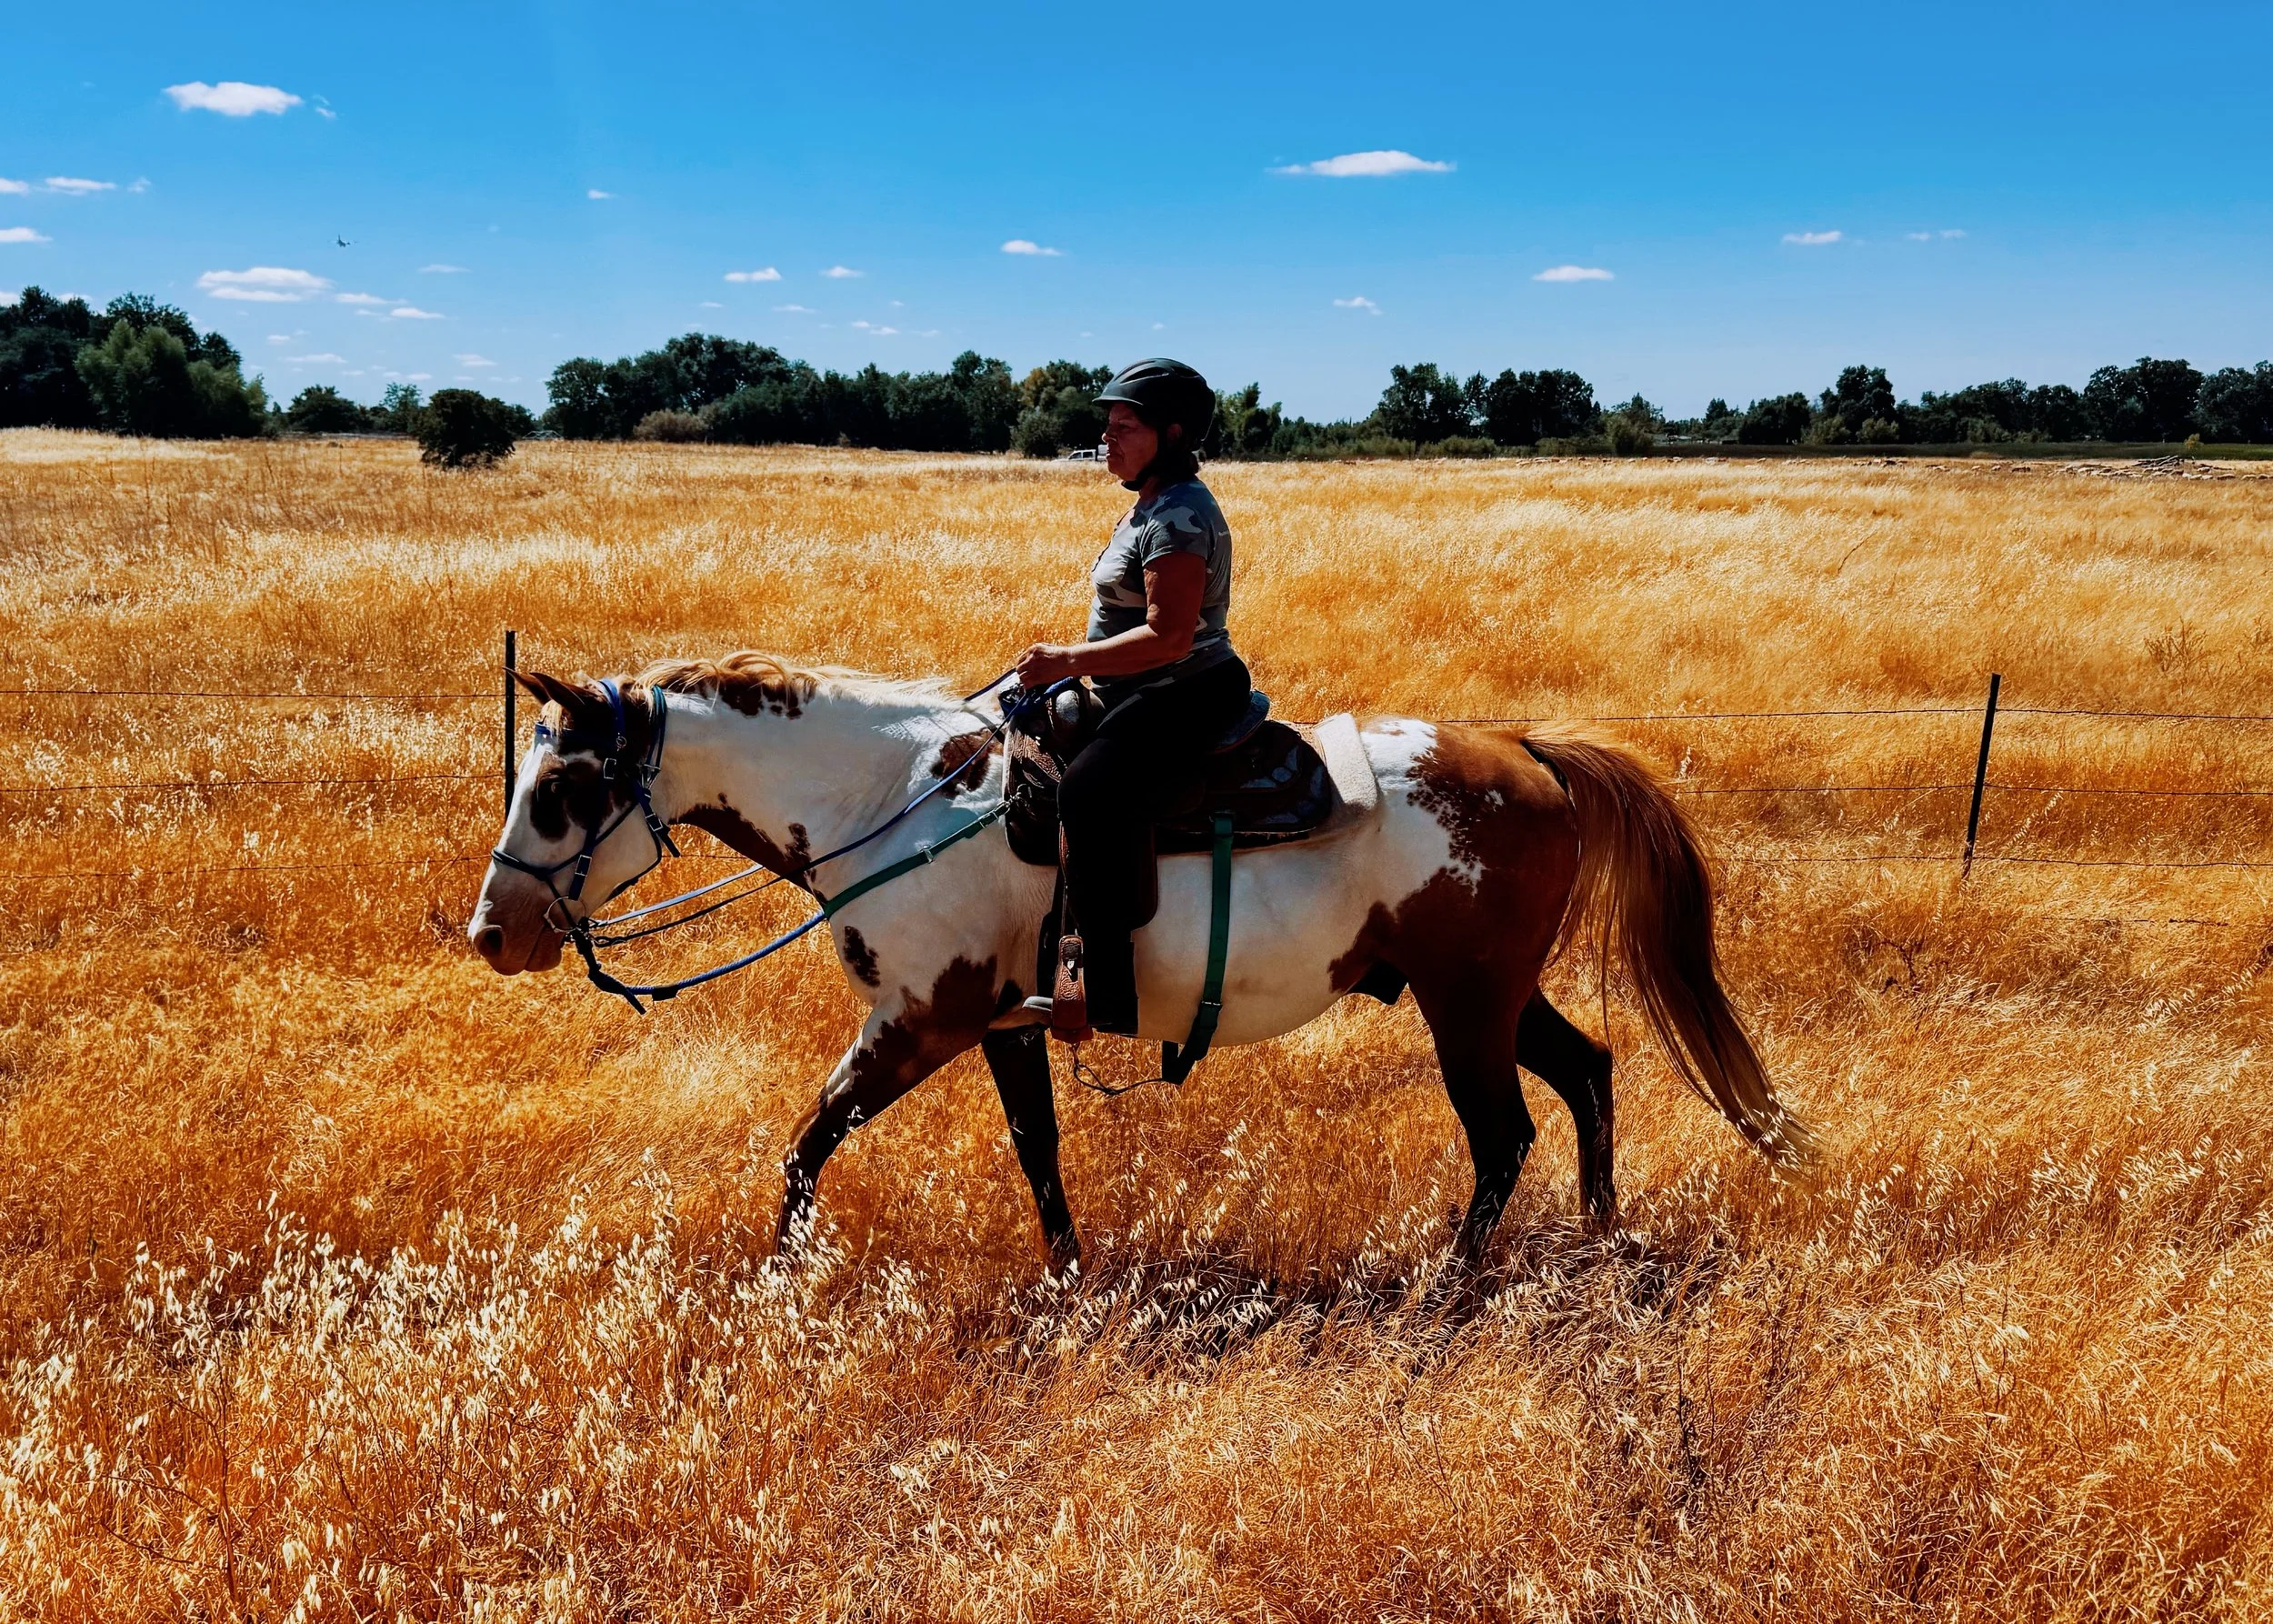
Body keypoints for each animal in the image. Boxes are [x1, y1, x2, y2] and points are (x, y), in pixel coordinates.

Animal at [468, 651, 1812, 1271]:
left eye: (565, 787)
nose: (494, 931)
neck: (892, 799)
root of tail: (1529, 753)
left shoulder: (919, 1020)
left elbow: (806, 1144)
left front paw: (779, 1280)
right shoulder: (1001, 1025)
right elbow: (1038, 1153)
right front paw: (1069, 1276)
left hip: (1466, 1003)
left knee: (1503, 1133)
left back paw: (1451, 1284)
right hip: (1492, 993)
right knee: (1588, 1073)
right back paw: (1597, 1233)